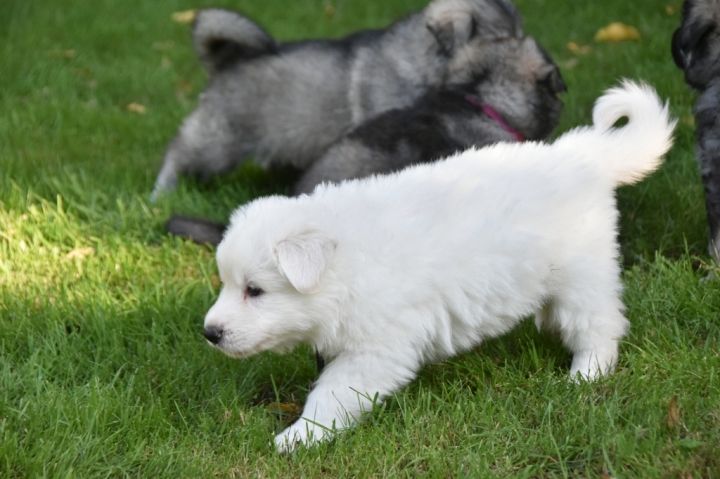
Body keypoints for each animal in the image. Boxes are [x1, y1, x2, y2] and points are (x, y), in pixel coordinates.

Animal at [202, 81, 674, 452]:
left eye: (255, 290)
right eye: (227, 283)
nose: (209, 333)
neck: (346, 265)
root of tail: (582, 154)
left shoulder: (376, 350)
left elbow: (331, 394)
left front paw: (300, 436)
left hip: (584, 275)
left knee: (599, 326)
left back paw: (585, 377)